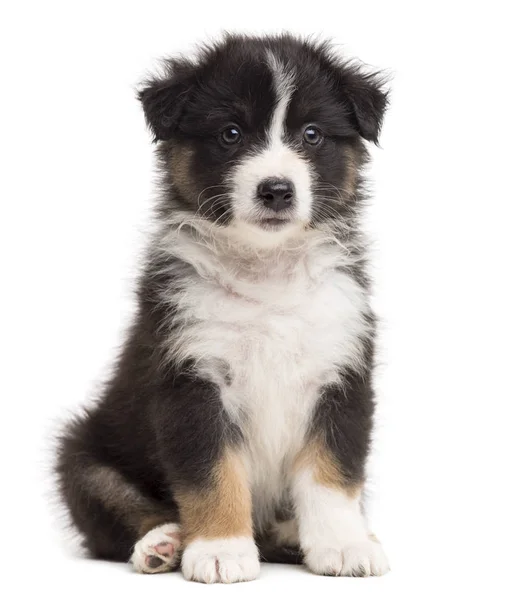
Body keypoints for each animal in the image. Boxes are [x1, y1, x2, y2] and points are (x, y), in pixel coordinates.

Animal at [56, 31, 388, 580]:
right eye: (230, 133)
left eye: (313, 134)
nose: (276, 190)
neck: (267, 272)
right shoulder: (191, 377)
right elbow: (211, 474)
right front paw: (220, 549)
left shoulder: (340, 370)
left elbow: (332, 471)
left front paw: (343, 544)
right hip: (82, 456)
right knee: (112, 511)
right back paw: (162, 542)